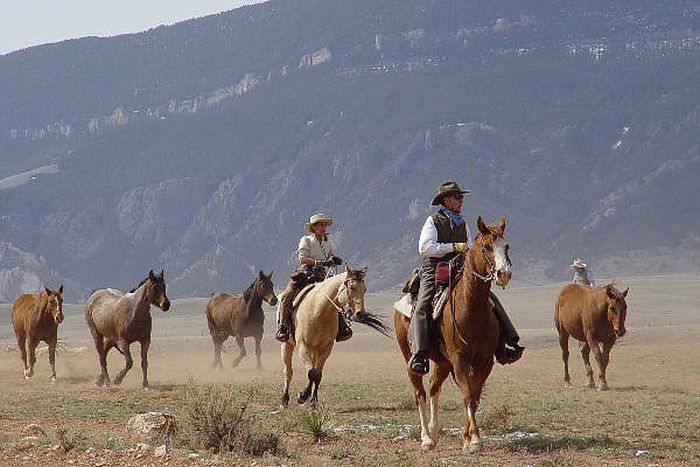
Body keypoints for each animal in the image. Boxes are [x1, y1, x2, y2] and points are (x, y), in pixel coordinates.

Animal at [278, 266, 370, 410]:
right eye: (352, 287)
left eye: (364, 289)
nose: (360, 314)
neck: (319, 310)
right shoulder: (303, 346)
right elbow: (311, 373)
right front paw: (302, 397)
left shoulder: (326, 347)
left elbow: (317, 375)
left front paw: (312, 402)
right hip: (287, 345)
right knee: (288, 372)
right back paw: (284, 400)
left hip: (315, 350)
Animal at [394, 218, 516, 454]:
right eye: (486, 246)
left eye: (506, 246)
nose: (503, 274)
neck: (471, 309)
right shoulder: (459, 360)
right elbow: (468, 395)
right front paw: (475, 440)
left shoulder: (485, 361)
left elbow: (475, 397)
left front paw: (467, 438)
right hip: (410, 357)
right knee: (419, 392)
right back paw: (426, 438)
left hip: (442, 362)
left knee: (433, 387)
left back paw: (434, 432)